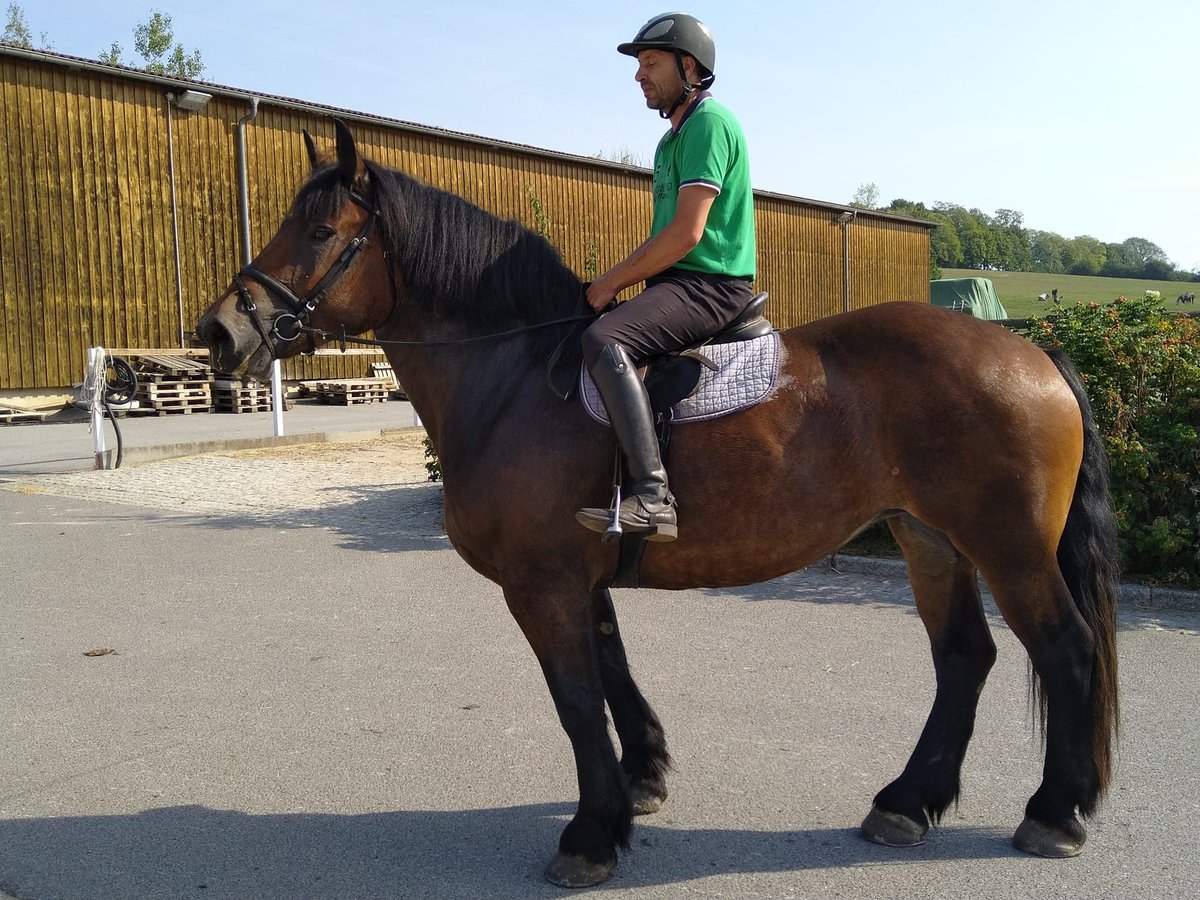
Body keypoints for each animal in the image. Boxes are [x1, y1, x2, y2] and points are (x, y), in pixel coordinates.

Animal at [192, 120, 1118, 888]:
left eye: (319, 232)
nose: (217, 333)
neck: (517, 375)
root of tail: (1030, 352)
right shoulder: (579, 577)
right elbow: (612, 673)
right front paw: (640, 781)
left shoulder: (541, 585)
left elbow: (575, 701)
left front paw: (590, 835)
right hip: (930, 538)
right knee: (964, 656)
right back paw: (907, 801)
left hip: (1007, 547)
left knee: (1064, 649)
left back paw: (1054, 813)